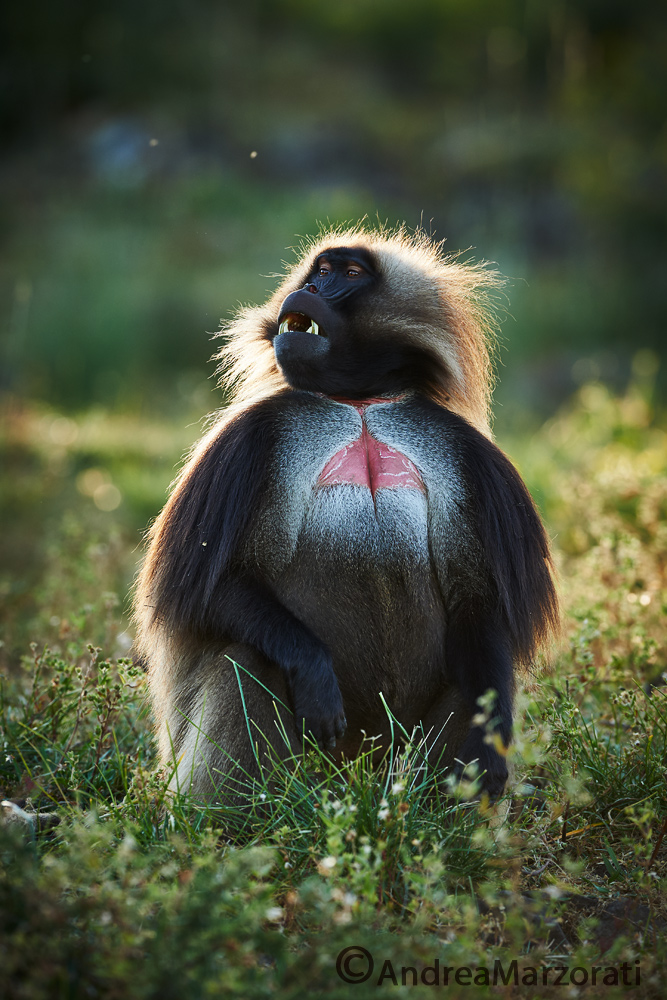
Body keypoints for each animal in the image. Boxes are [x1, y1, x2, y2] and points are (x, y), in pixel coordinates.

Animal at [133, 224, 559, 804]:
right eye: (319, 270)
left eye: (349, 274)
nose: (309, 289)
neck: (359, 404)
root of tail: (360, 771)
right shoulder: (245, 444)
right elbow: (209, 585)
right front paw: (315, 675)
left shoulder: (466, 458)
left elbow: (478, 600)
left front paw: (488, 759)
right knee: (245, 659)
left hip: (402, 753)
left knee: (475, 681)